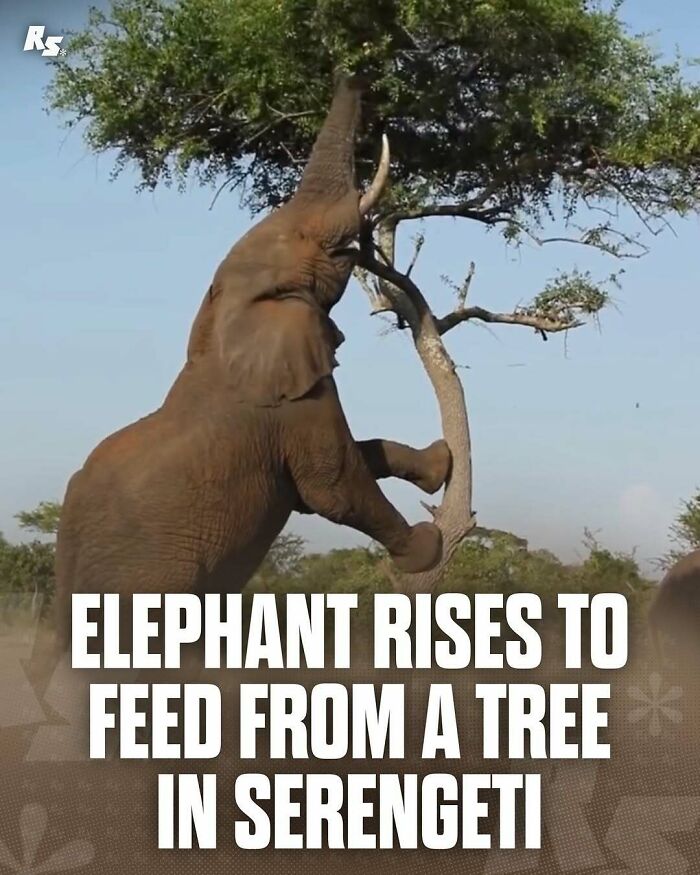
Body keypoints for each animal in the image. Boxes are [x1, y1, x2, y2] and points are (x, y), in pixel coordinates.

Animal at [53, 76, 450, 643]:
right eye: (305, 240)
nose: (353, 72)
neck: (223, 319)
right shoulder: (290, 399)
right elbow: (332, 483)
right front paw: (426, 547)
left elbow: (350, 459)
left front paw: (440, 463)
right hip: (146, 579)